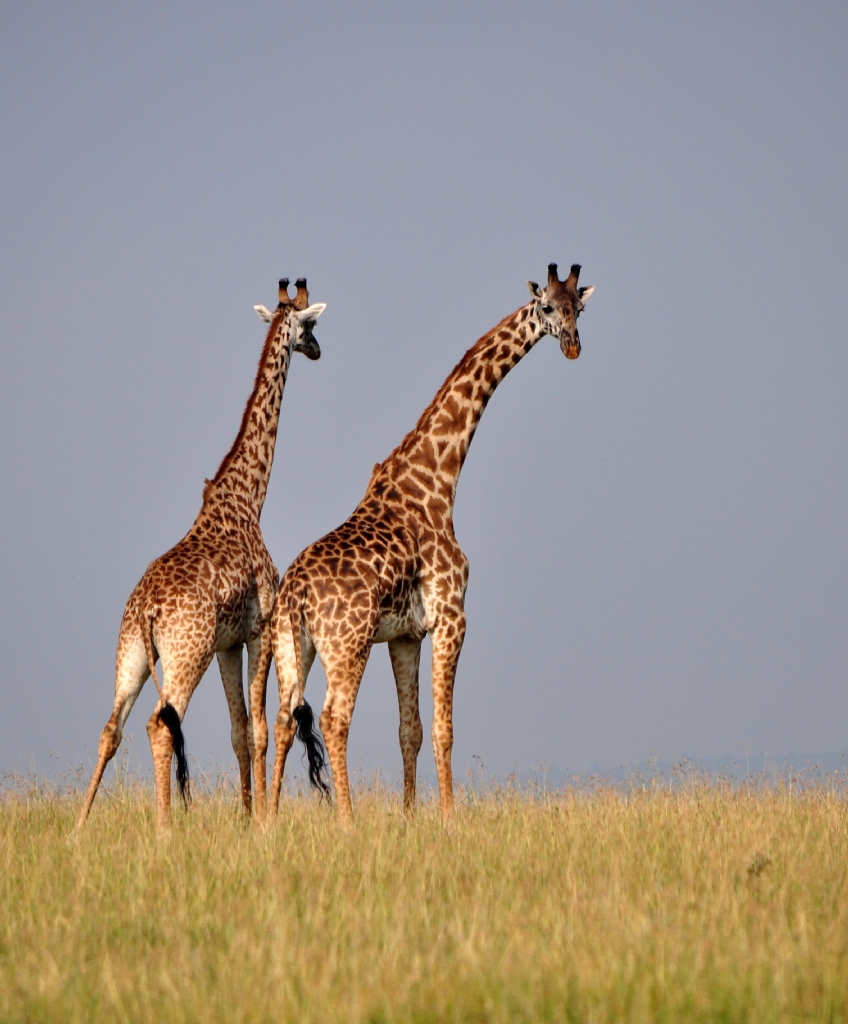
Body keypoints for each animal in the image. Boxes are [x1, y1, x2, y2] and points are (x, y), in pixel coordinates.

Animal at [76, 276, 327, 827]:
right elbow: (259, 730)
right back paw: (165, 827)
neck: (248, 496)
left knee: (110, 728)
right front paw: (262, 821)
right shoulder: (259, 629)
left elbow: (239, 731)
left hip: (132, 653)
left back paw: (79, 829)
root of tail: (147, 609)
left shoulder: (228, 643)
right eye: (311, 325)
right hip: (185, 654)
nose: (319, 350)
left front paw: (246, 816)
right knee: (159, 724)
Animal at [268, 264, 594, 823]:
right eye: (548, 308)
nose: (572, 346)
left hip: (296, 647)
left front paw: (410, 815)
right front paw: (448, 818)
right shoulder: (452, 617)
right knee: (333, 719)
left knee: (284, 720)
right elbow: (444, 730)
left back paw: (266, 823)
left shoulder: (405, 635)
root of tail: (296, 594)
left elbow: (411, 730)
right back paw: (347, 822)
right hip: (348, 643)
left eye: (582, 308)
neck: (438, 476)